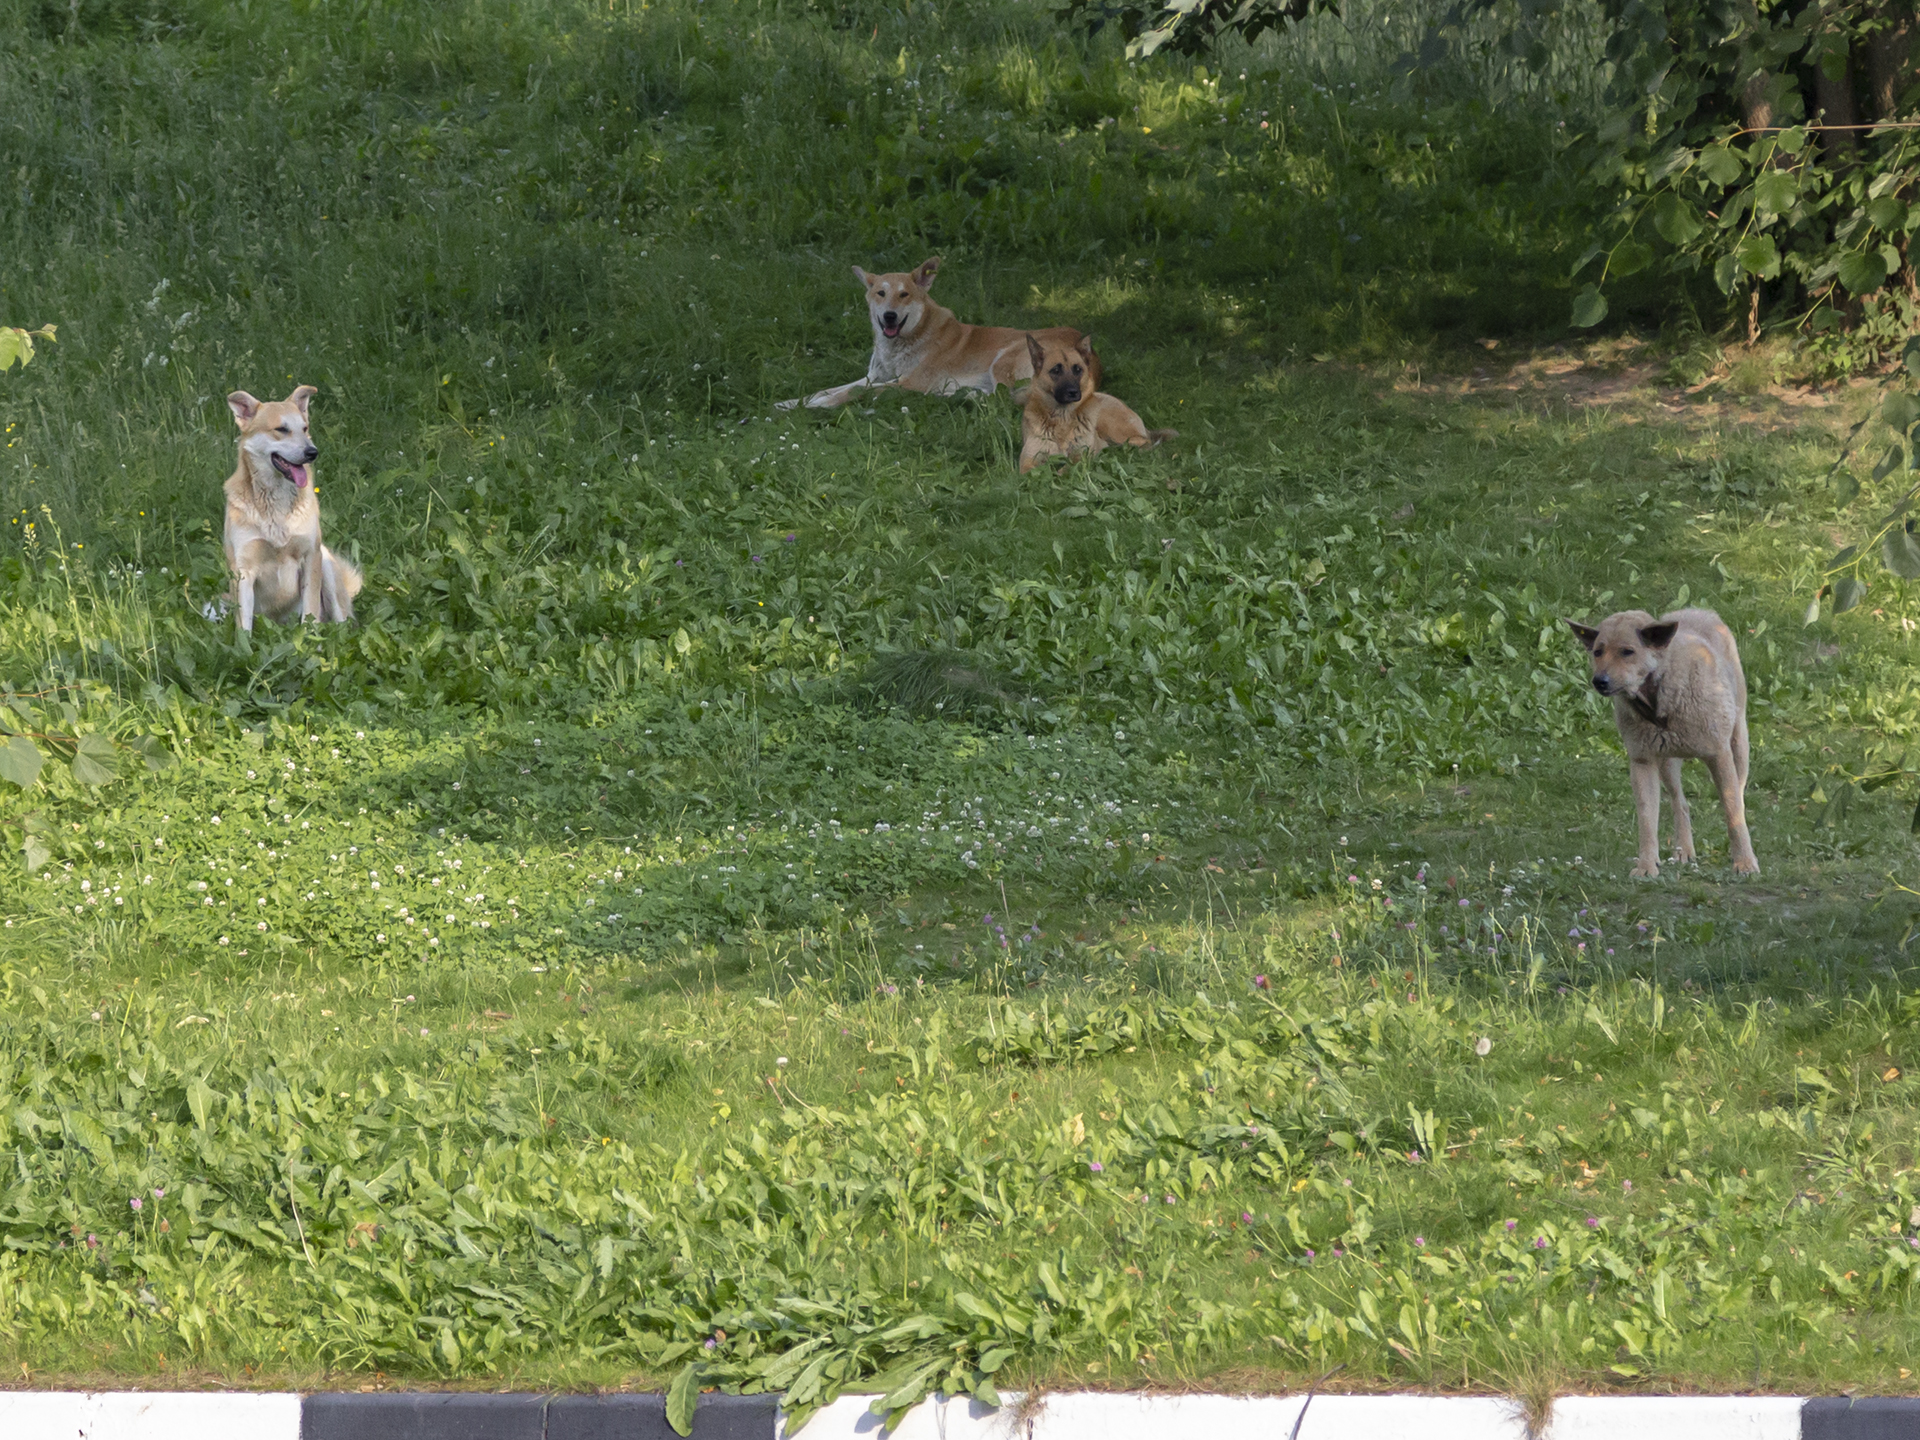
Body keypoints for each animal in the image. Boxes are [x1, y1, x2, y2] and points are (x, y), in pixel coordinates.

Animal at [222, 385, 360, 633]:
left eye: (304, 428)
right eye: (281, 429)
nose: (312, 452)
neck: (275, 503)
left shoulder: (310, 557)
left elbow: (310, 613)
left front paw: (308, 640)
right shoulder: (242, 570)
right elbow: (244, 626)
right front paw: (243, 644)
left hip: (326, 563)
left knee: (341, 620)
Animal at [771, 257, 1098, 410]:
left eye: (904, 295)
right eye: (880, 293)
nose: (889, 316)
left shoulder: (905, 381)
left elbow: (850, 392)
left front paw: (819, 406)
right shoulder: (875, 377)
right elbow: (826, 389)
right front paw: (791, 403)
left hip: (1006, 358)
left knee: (1004, 398)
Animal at [1013, 336, 1175, 476]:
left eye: (1078, 369)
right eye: (1056, 370)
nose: (1073, 392)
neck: (1062, 419)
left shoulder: (1080, 456)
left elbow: (1066, 469)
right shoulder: (1028, 459)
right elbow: (1029, 472)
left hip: (1111, 426)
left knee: (1144, 441)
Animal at [1559, 610, 1758, 879]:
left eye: (1627, 651)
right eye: (1598, 651)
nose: (1599, 681)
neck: (1659, 701)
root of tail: (1700, 610)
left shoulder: (1719, 755)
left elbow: (1732, 811)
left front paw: (1745, 863)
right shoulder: (1642, 761)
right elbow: (1646, 818)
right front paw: (1646, 866)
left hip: (1739, 743)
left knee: (1739, 793)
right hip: (1667, 762)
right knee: (1679, 802)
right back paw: (1683, 850)